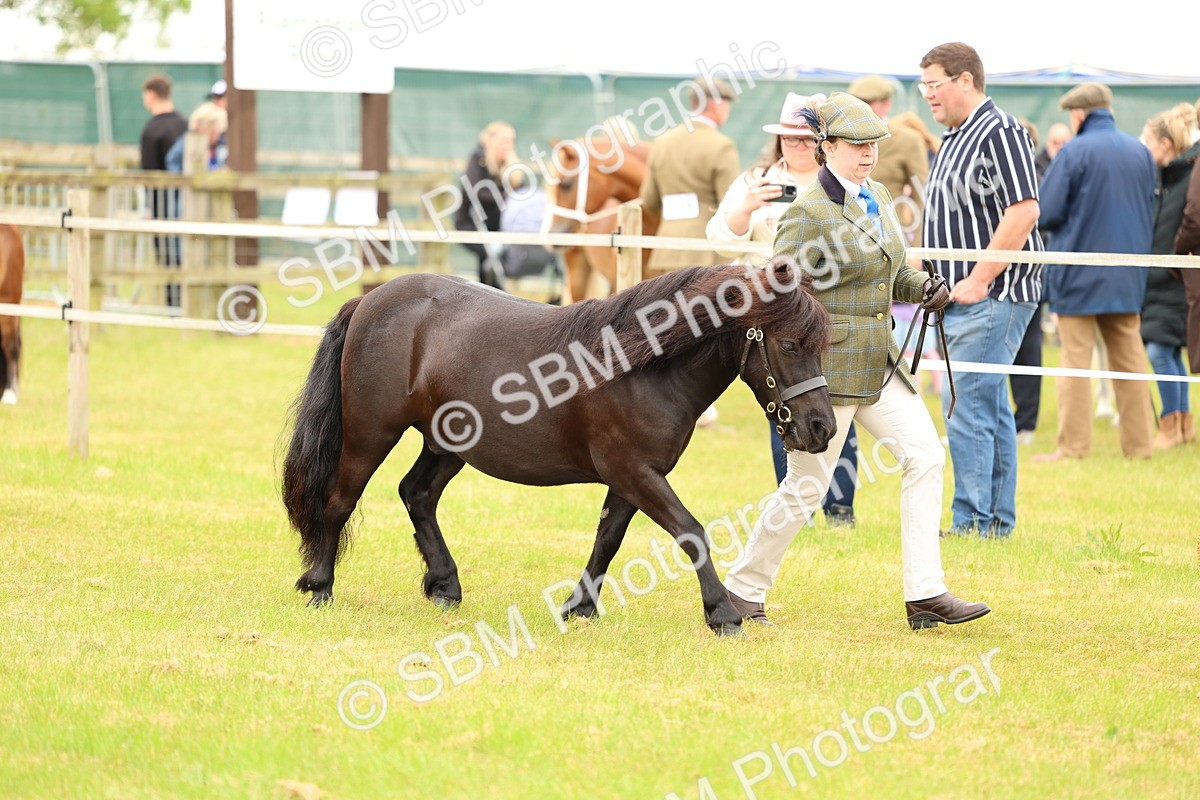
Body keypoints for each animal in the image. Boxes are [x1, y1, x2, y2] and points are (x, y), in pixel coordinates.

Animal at [281, 260, 835, 635]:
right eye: (789, 344)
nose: (822, 428)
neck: (641, 366)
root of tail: (369, 301)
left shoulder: (632, 477)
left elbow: (608, 540)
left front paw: (579, 607)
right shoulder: (635, 471)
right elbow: (691, 532)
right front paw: (722, 613)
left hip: (447, 445)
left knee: (416, 494)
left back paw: (444, 585)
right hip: (371, 433)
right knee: (340, 500)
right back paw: (320, 585)